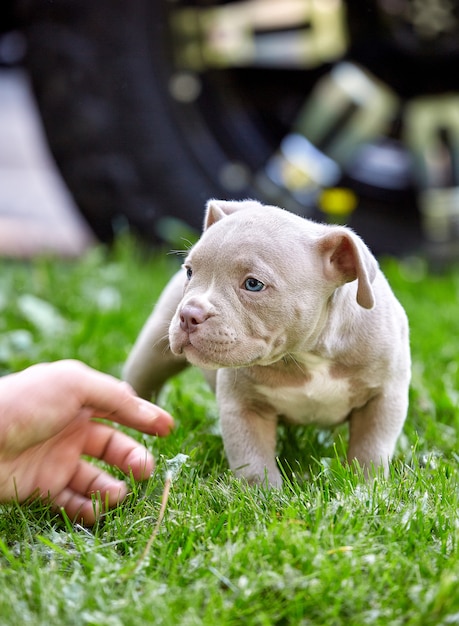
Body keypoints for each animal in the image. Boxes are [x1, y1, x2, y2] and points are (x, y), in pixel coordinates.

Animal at [124, 199, 412, 482]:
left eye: (253, 284)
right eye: (190, 272)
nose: (189, 314)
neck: (306, 354)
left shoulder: (385, 397)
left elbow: (371, 449)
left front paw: (365, 485)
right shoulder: (243, 405)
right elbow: (253, 459)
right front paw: (265, 492)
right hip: (152, 352)